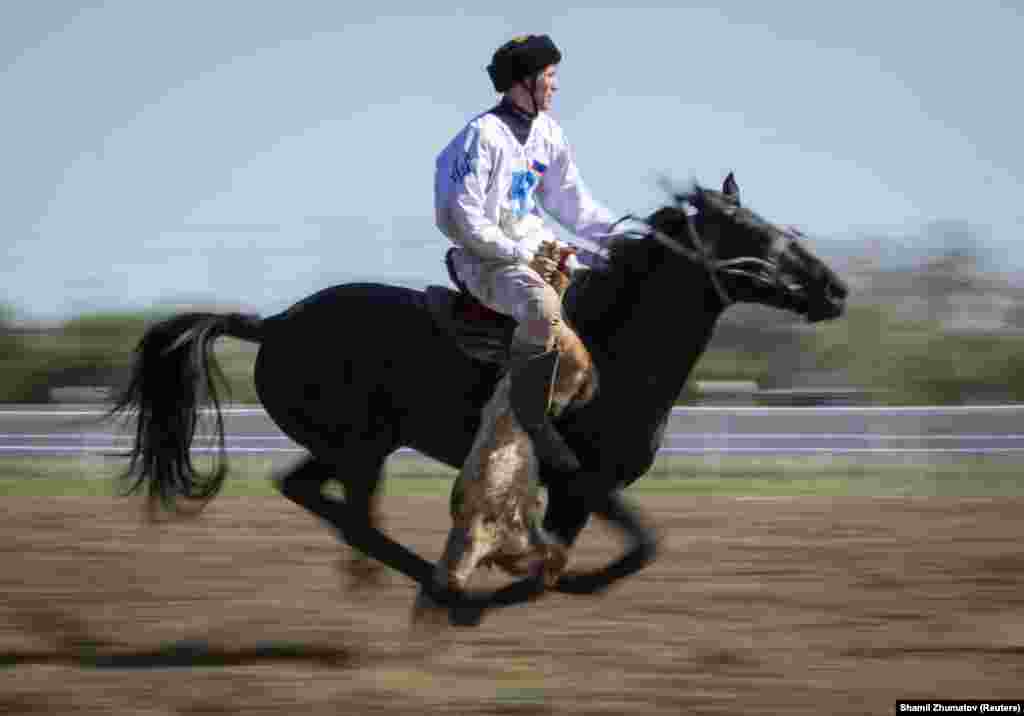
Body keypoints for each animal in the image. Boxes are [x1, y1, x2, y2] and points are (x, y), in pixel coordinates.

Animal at [112, 175, 847, 626]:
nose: (835, 288)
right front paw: (521, 582)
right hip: (362, 445)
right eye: (755, 235)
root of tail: (275, 323)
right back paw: (440, 589)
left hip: (351, 446)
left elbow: (589, 552)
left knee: (314, 495)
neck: (616, 353)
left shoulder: (579, 495)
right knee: (351, 515)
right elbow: (634, 548)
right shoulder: (582, 478)